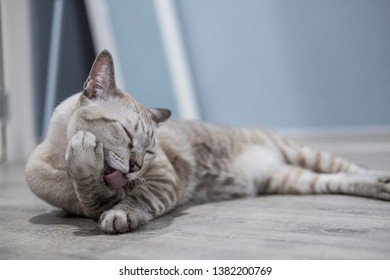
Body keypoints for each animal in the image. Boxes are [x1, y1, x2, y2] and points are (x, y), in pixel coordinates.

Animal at [24, 49, 390, 234]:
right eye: (128, 135)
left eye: (149, 150)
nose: (136, 166)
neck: (59, 165)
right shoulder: (90, 203)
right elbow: (94, 192)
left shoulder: (161, 181)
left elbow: (132, 200)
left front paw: (119, 211)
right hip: (292, 179)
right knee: (338, 180)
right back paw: (382, 187)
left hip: (305, 154)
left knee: (353, 167)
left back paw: (384, 180)